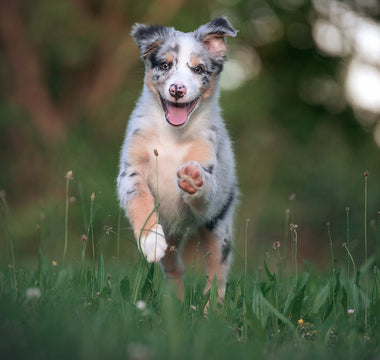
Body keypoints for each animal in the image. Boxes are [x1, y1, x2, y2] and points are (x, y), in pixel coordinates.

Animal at [117, 17, 239, 298]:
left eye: (198, 69)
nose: (177, 89)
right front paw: (150, 240)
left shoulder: (209, 166)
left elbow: (205, 187)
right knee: (174, 268)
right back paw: (175, 300)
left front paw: (193, 179)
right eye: (165, 65)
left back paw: (209, 309)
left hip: (220, 227)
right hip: (171, 235)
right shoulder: (130, 171)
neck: (171, 135)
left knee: (216, 276)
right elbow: (139, 198)